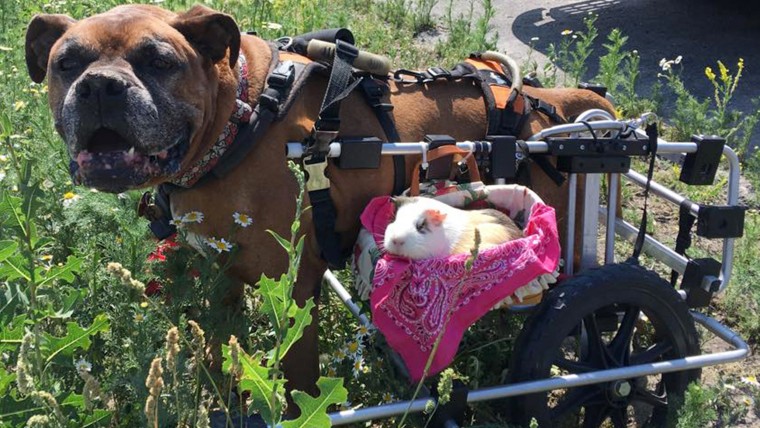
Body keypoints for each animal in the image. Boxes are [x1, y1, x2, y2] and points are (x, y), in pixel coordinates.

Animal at [26, 4, 616, 398]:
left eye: (159, 60)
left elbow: (298, 377)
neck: (241, 117)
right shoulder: (218, 276)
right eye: (66, 62)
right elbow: (215, 344)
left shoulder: (294, 291)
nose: (101, 85)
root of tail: (549, 103)